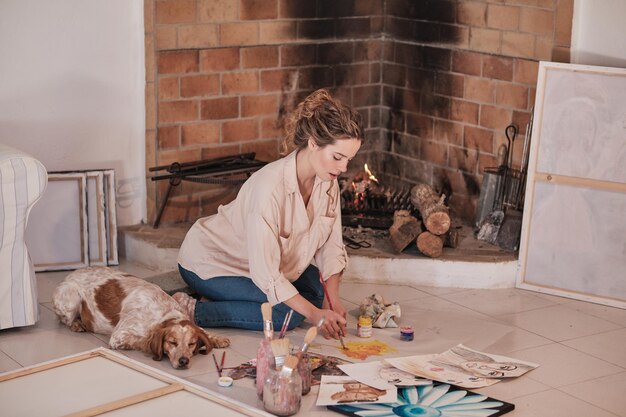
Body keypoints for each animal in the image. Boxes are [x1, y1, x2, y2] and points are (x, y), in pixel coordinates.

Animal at [51, 266, 227, 368]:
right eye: (172, 342)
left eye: (191, 344)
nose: (184, 361)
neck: (163, 313)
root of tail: (71, 274)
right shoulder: (119, 336)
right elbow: (141, 341)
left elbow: (202, 330)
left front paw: (217, 338)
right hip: (70, 298)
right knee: (65, 319)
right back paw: (77, 324)